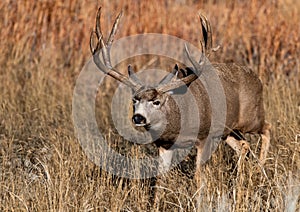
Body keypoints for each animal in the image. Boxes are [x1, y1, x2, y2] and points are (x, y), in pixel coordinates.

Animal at [88, 7, 270, 189]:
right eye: (134, 100)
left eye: (157, 102)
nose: (138, 117)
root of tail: (257, 78)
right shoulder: (165, 145)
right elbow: (160, 179)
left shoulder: (205, 136)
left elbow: (198, 177)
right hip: (229, 130)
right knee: (244, 145)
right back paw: (240, 181)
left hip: (250, 117)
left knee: (267, 128)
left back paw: (260, 170)